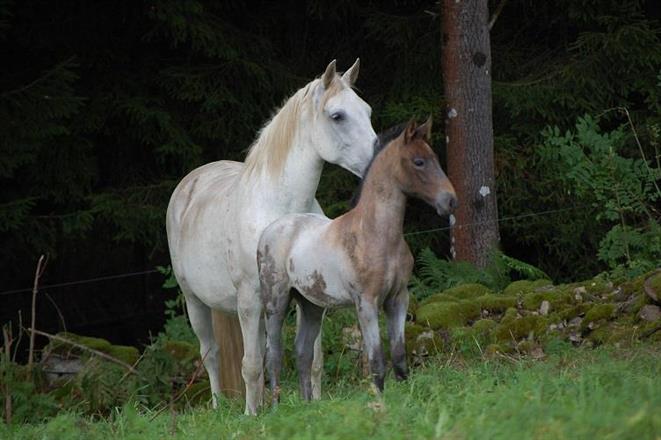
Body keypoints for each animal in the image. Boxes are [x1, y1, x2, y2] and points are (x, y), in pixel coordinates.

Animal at [165, 57, 376, 412]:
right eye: (337, 115)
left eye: (367, 110)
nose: (378, 160)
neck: (284, 216)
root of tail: (190, 182)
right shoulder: (249, 298)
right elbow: (249, 365)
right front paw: (252, 416)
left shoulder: (309, 295)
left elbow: (312, 358)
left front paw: (312, 404)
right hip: (196, 301)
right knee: (211, 354)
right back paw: (220, 408)